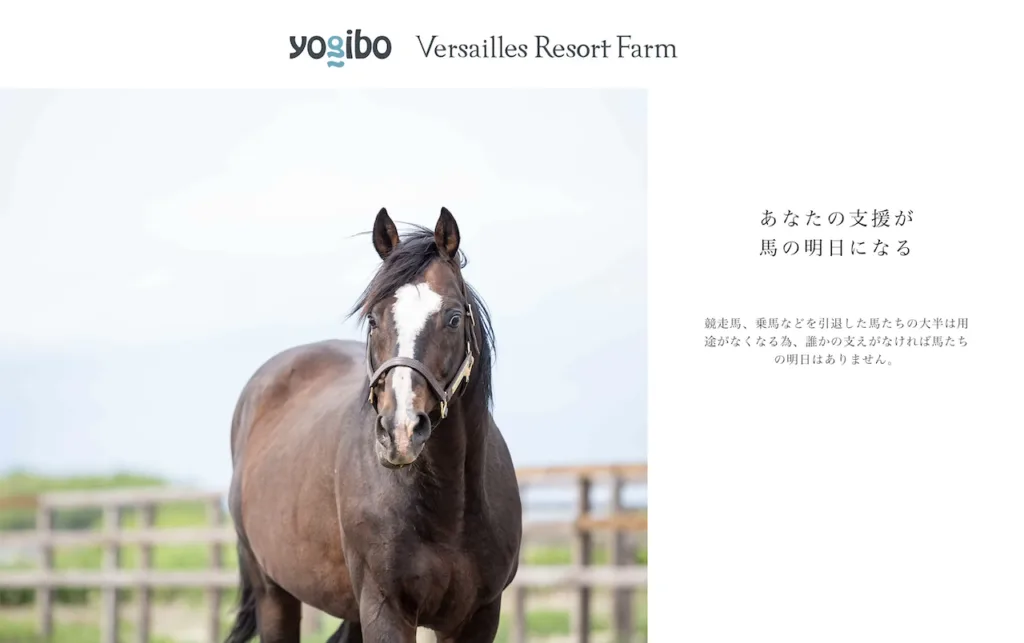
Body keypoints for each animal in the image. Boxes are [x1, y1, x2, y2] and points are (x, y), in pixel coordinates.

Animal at [224, 207, 522, 642]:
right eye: (373, 319)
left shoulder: (479, 617)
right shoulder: (385, 609)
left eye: (453, 318)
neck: (450, 511)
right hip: (273, 593)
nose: (400, 432)